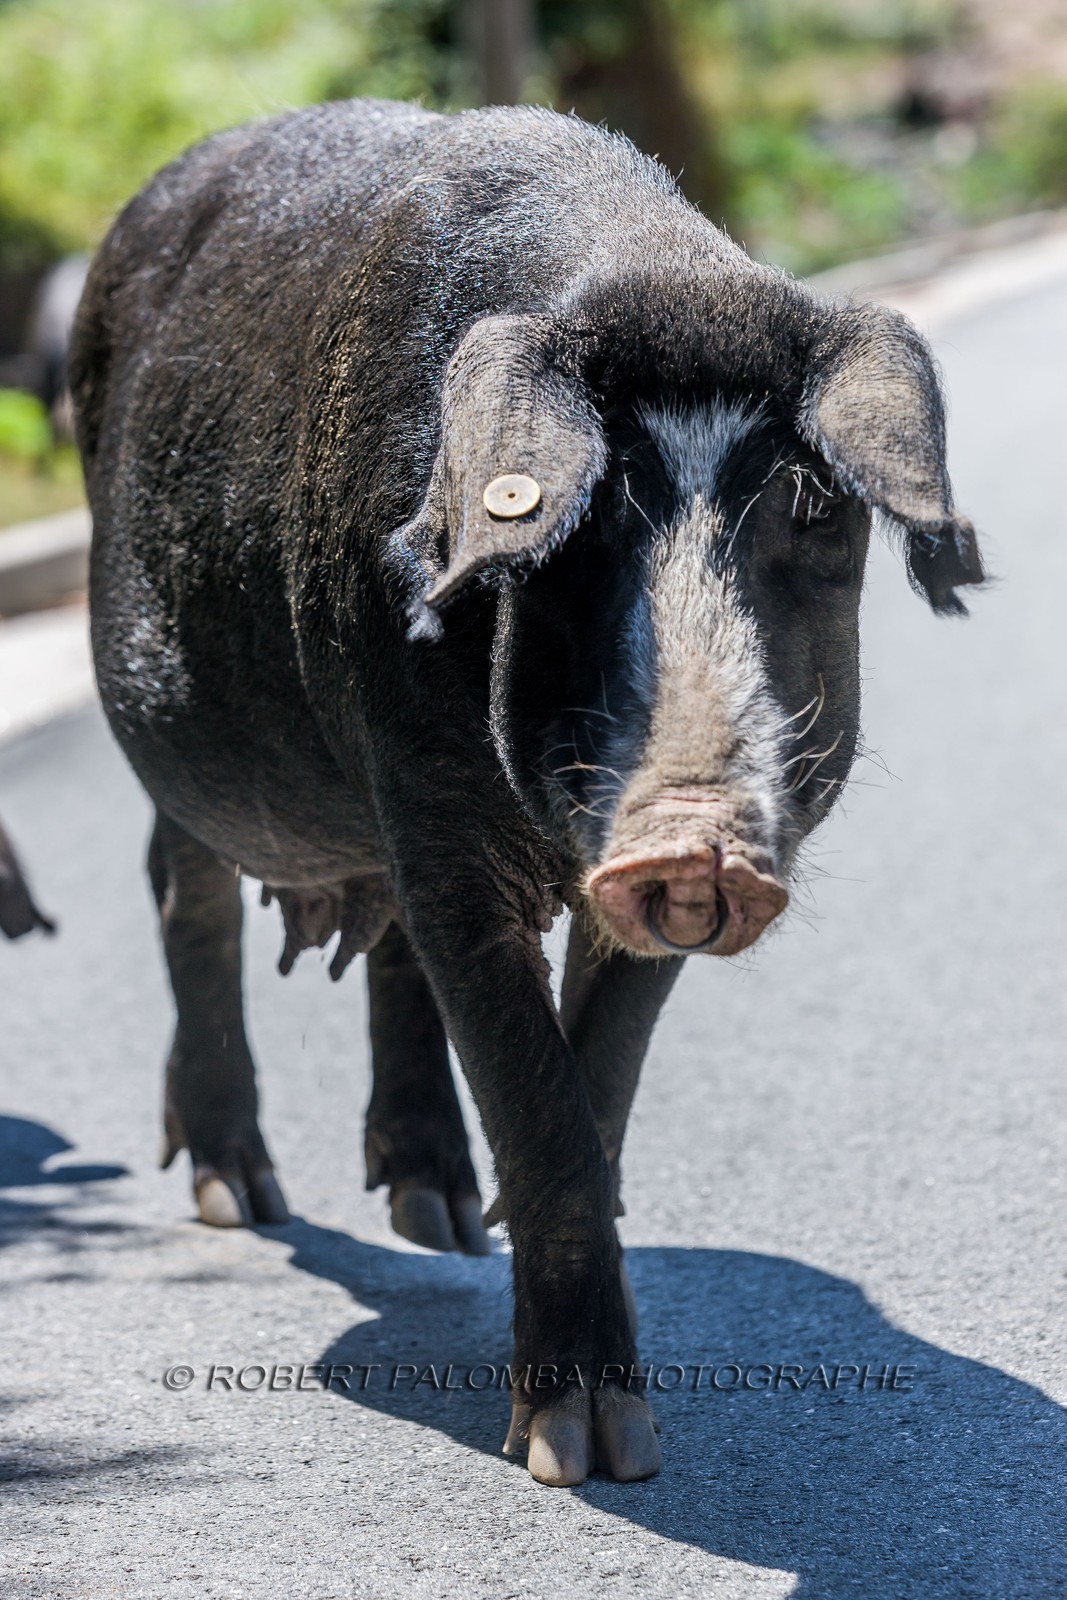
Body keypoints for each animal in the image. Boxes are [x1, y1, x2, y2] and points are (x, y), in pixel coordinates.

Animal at [69, 99, 984, 1486]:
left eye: (814, 510)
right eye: (581, 525)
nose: (687, 840)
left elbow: (589, 1094)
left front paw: (619, 1440)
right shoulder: (431, 806)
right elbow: (535, 1097)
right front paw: (576, 1457)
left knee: (379, 944)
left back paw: (437, 1215)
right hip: (197, 757)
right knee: (190, 896)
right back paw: (239, 1191)